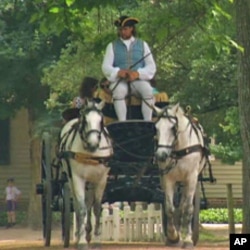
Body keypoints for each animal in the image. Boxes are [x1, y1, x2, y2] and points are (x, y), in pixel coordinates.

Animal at [58, 100, 113, 249]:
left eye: (101, 121)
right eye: (84, 120)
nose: (93, 144)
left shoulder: (101, 179)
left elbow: (97, 208)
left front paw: (96, 240)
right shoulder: (78, 178)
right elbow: (81, 208)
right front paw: (82, 241)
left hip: (91, 182)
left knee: (89, 203)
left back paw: (88, 232)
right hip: (71, 180)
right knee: (79, 206)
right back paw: (79, 234)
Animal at [153, 103, 208, 248]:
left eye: (173, 128)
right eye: (156, 128)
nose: (161, 155)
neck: (179, 149)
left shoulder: (191, 178)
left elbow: (188, 209)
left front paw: (188, 239)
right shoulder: (168, 179)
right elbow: (170, 208)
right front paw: (173, 236)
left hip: (188, 182)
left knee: (184, 206)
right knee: (177, 207)